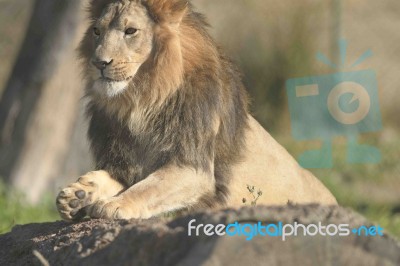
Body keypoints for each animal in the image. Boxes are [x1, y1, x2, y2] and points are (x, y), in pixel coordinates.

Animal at [56, 0, 336, 220]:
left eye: (130, 31)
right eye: (96, 31)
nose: (99, 63)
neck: (141, 102)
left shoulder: (193, 167)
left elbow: (149, 187)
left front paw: (115, 204)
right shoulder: (124, 159)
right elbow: (118, 177)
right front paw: (79, 194)